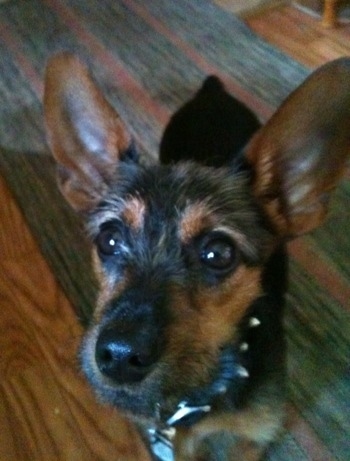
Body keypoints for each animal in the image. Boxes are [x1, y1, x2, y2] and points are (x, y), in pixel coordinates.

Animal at [43, 52, 350, 458]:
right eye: (108, 240)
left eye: (219, 253)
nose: (120, 356)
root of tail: (212, 89)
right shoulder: (179, 443)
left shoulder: (255, 436)